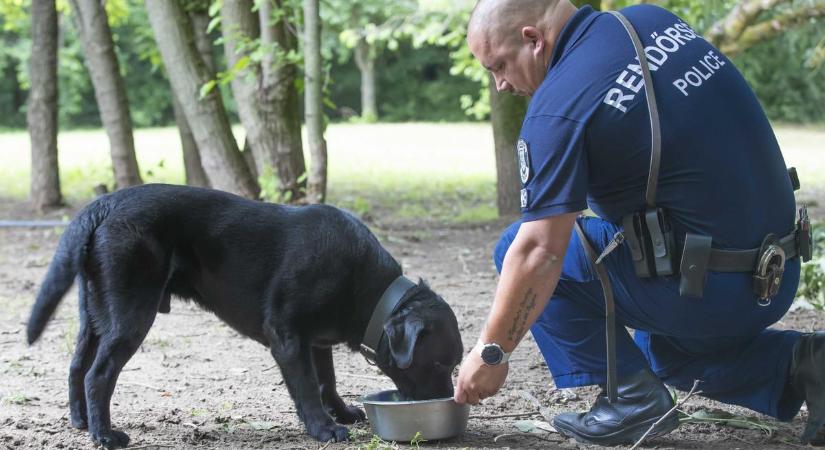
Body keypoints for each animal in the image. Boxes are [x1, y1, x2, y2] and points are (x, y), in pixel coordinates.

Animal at [27, 185, 464, 448]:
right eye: (440, 363)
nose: (450, 399)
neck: (369, 291)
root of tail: (105, 203)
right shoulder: (286, 336)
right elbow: (308, 388)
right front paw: (324, 428)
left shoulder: (315, 342)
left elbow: (327, 382)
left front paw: (341, 413)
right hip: (130, 316)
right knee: (98, 374)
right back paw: (105, 435)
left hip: (94, 315)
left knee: (76, 366)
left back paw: (81, 422)